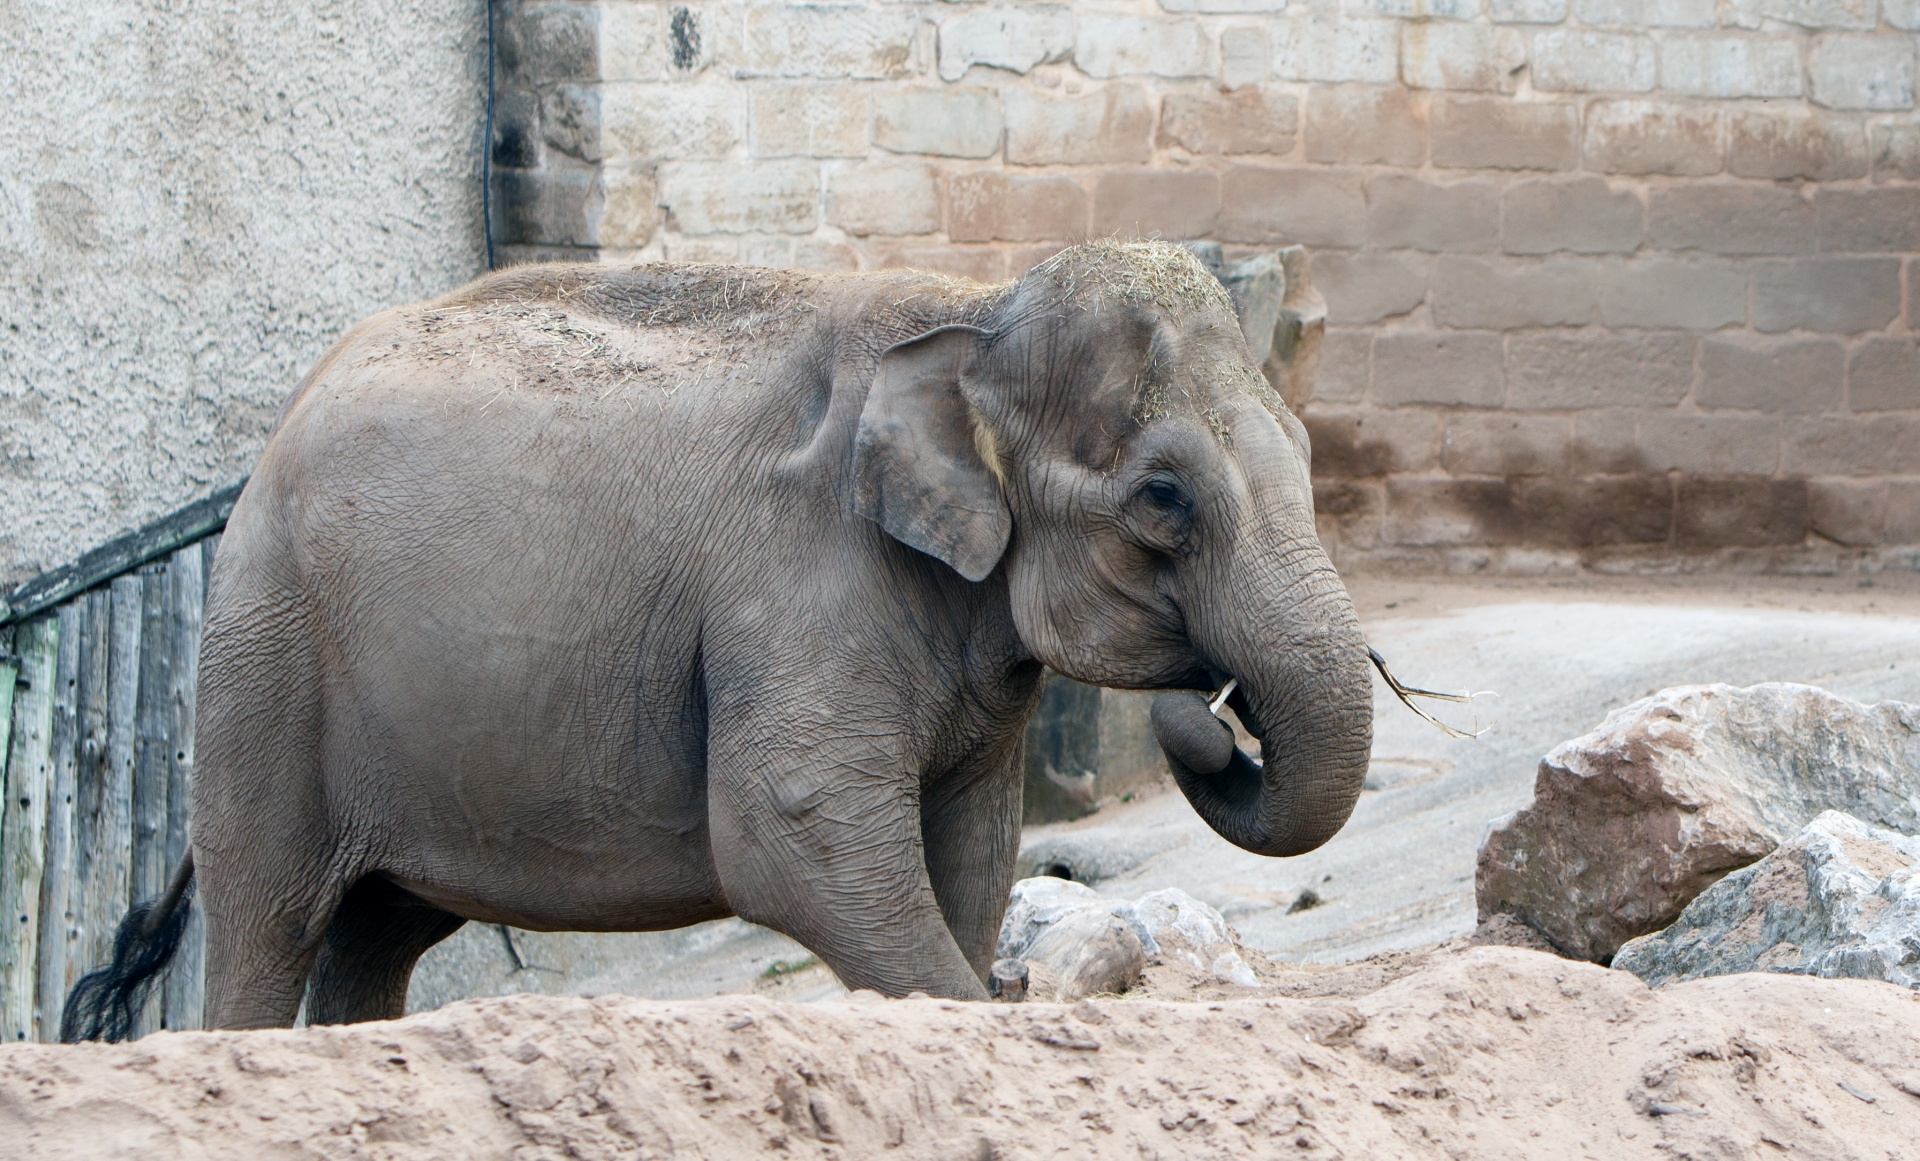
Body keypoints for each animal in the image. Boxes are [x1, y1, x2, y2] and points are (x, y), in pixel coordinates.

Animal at [60, 239, 1374, 1036]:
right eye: (1164, 498)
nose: (1210, 713)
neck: (967, 307)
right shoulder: (797, 585)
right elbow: (793, 838)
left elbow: (971, 847)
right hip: (266, 657)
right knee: (270, 918)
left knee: (378, 934)